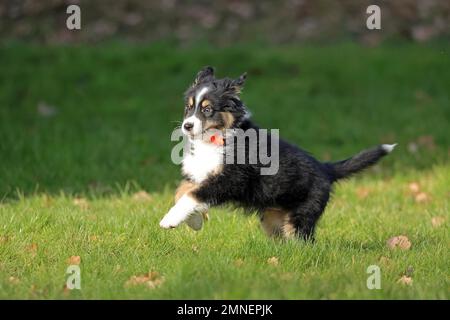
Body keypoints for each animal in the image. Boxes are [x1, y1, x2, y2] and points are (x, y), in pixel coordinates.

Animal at [160, 66, 396, 240]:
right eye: (189, 108)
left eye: (207, 110)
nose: (187, 126)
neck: (215, 138)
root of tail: (325, 168)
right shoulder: (200, 174)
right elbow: (181, 191)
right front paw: (195, 222)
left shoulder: (231, 179)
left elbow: (193, 194)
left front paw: (168, 220)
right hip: (273, 217)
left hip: (301, 214)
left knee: (304, 241)